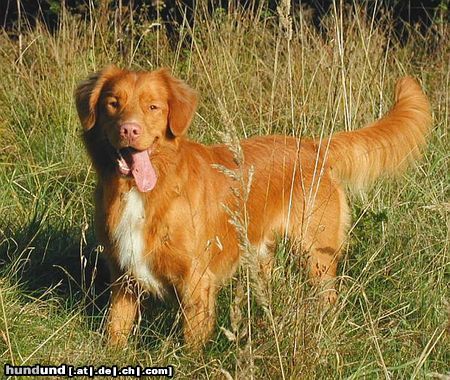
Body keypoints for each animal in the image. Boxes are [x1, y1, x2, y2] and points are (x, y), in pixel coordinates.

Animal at [75, 67, 430, 348]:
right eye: (113, 103)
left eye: (153, 107)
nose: (129, 129)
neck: (146, 189)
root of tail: (313, 146)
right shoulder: (124, 277)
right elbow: (115, 331)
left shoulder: (197, 281)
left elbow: (192, 342)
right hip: (263, 256)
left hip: (316, 253)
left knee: (328, 298)